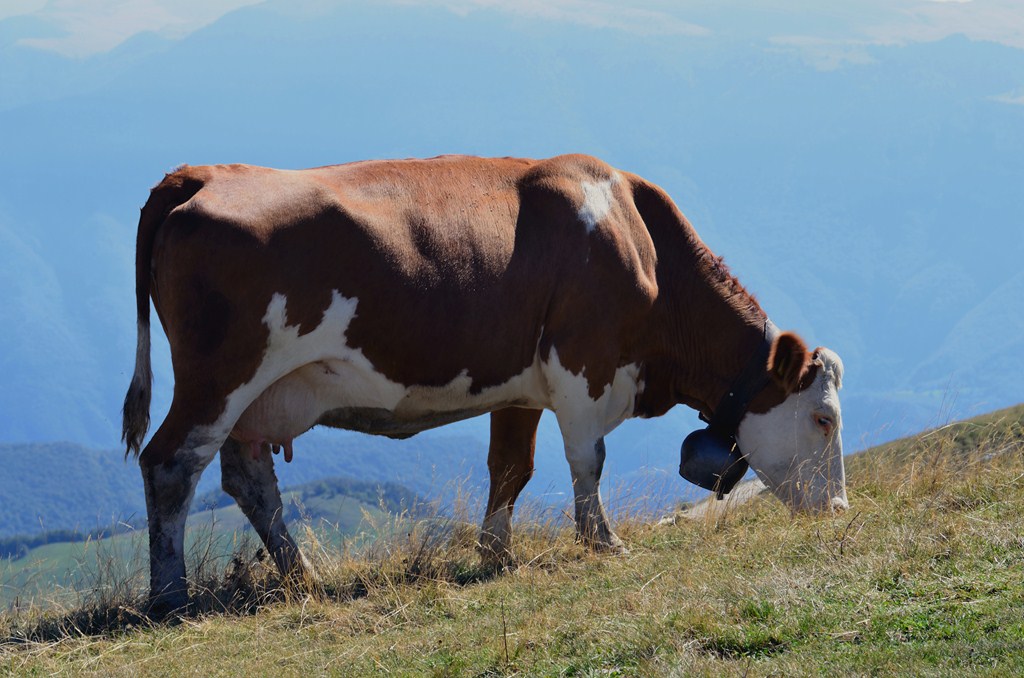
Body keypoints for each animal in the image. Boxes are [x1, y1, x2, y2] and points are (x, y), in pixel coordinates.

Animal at [122, 154, 847, 613]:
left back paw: (303, 575)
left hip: (254, 397)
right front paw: (602, 541)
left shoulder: (522, 386)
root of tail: (199, 175)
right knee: (171, 464)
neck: (642, 245)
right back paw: (170, 595)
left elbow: (511, 467)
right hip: (219, 377)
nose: (841, 510)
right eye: (824, 419)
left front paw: (496, 552)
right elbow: (589, 459)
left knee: (247, 477)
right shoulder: (583, 366)